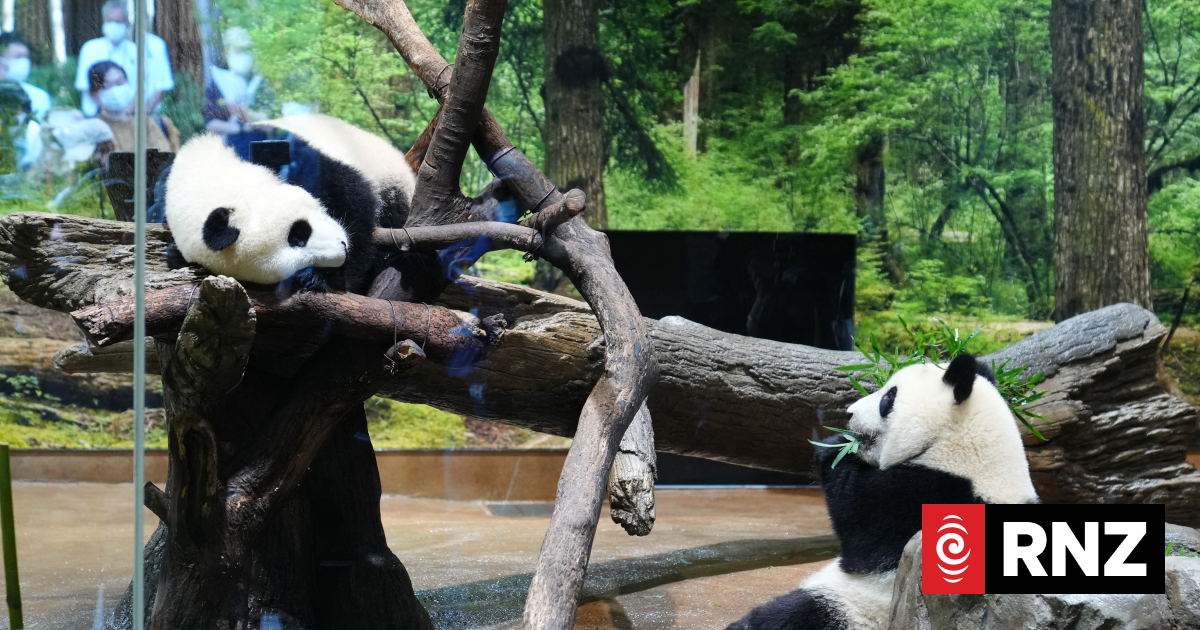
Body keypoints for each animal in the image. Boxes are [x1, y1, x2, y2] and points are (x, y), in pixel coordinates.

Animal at [728, 353, 1038, 630]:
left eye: (888, 397)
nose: (849, 412)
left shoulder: (934, 496)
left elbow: (862, 526)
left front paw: (835, 448)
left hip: (858, 609)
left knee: (794, 616)